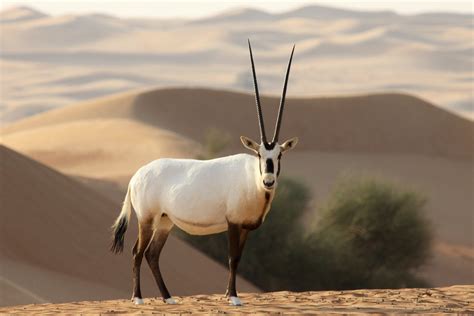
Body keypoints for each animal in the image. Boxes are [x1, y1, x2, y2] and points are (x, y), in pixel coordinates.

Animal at [109, 40, 298, 308]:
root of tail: (136, 176)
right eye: (259, 154)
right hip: (147, 218)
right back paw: (138, 298)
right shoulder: (232, 223)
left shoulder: (245, 228)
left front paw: (228, 294)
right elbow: (232, 258)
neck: (251, 179)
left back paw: (168, 298)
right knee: (138, 252)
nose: (268, 181)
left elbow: (238, 258)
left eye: (279, 155)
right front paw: (233, 297)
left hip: (165, 221)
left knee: (152, 254)